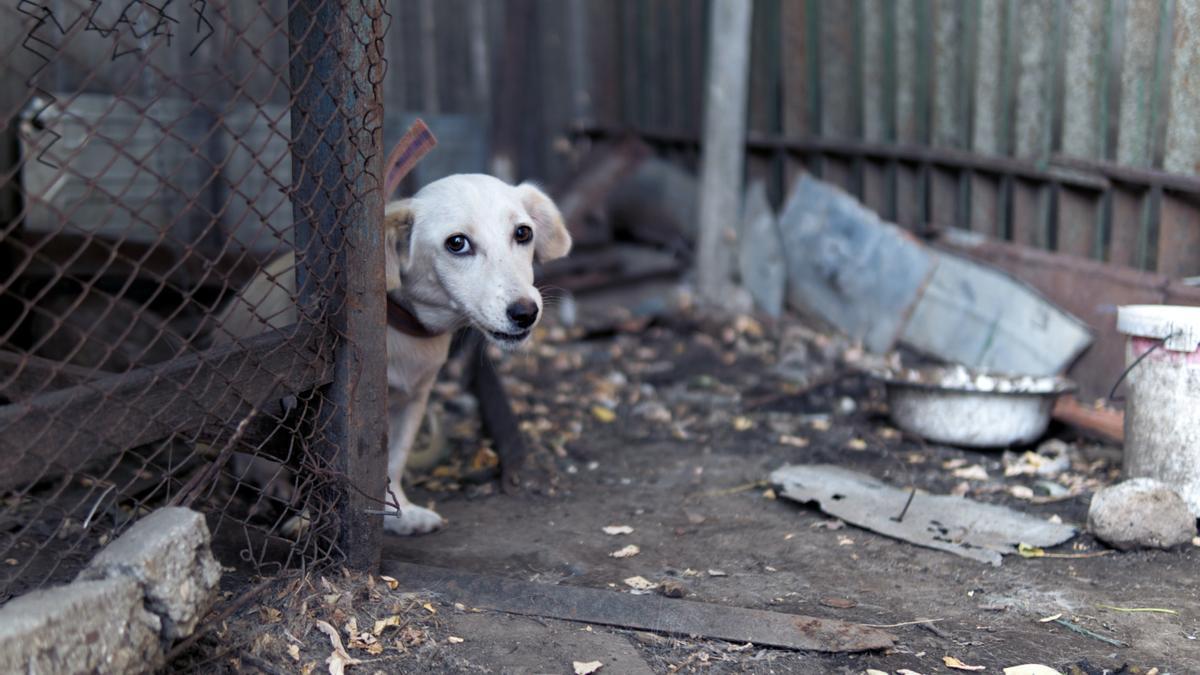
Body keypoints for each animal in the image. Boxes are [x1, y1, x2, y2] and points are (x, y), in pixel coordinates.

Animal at [213, 172, 568, 530]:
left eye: (523, 233)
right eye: (457, 243)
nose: (526, 313)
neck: (401, 330)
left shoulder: (412, 402)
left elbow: (394, 460)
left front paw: (399, 512)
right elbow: (317, 471)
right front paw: (310, 521)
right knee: (255, 466)